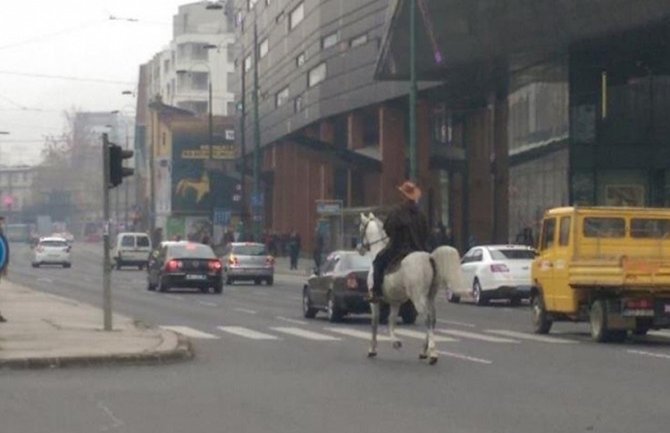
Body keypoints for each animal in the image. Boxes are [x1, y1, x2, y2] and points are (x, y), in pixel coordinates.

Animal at [360, 211, 464, 362]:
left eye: (360, 228)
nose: (360, 249)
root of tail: (430, 258)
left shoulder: (374, 301)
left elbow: (375, 322)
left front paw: (372, 350)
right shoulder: (395, 302)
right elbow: (391, 321)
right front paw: (395, 342)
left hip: (418, 298)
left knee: (428, 318)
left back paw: (432, 353)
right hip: (430, 297)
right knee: (433, 319)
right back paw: (424, 351)